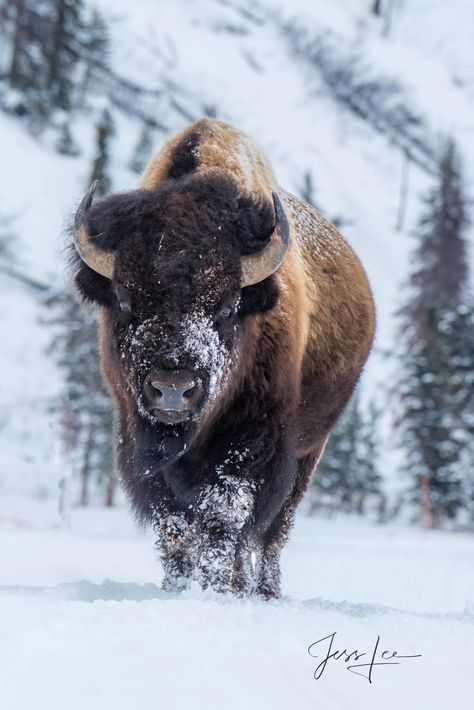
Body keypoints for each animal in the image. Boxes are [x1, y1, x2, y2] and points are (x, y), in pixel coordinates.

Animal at [71, 119, 374, 596]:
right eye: (123, 299)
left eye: (229, 306)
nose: (172, 389)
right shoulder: (139, 439)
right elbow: (176, 524)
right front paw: (178, 587)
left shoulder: (254, 439)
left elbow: (224, 515)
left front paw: (216, 590)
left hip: (310, 450)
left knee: (273, 532)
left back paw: (263, 590)